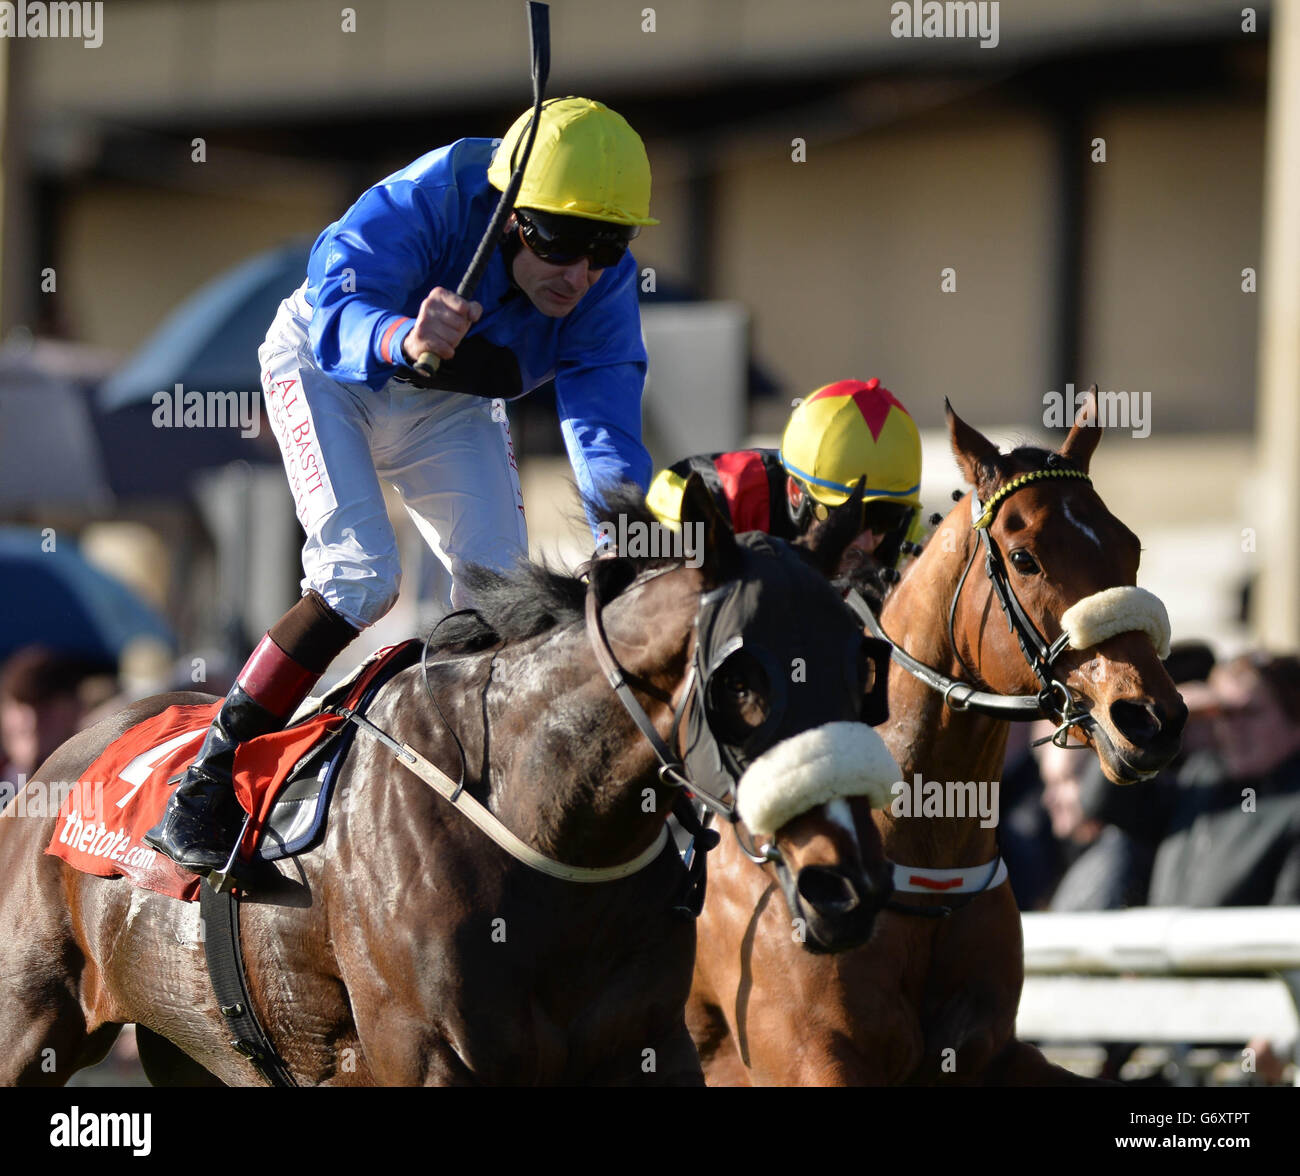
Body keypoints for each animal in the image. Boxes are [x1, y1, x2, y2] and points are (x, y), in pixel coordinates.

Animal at [0, 478, 894, 1081]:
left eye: (862, 667)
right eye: (740, 680)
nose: (844, 889)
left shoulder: (648, 1048)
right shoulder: (427, 1053)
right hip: (28, 1021)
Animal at [691, 392, 1190, 1081]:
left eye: (1131, 545)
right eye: (1024, 557)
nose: (1152, 718)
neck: (918, 865)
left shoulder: (990, 1048)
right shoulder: (808, 1056)